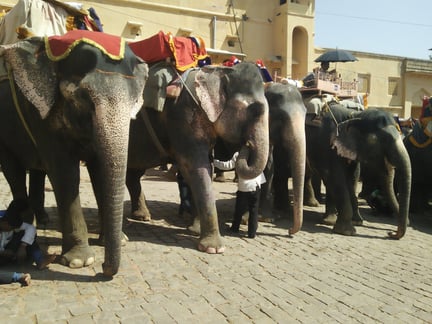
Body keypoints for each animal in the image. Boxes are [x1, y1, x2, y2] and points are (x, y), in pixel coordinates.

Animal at [0, 32, 147, 276]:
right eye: (83, 97)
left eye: (135, 100)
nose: (104, 269)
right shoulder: (40, 114)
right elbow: (65, 174)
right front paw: (79, 261)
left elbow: (99, 171)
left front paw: (119, 240)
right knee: (14, 172)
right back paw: (26, 224)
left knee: (36, 171)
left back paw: (41, 220)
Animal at [304, 105, 412, 239]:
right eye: (383, 140)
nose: (391, 233)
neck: (353, 115)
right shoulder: (326, 144)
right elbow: (335, 177)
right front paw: (347, 231)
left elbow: (352, 178)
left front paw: (356, 222)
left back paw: (316, 208)